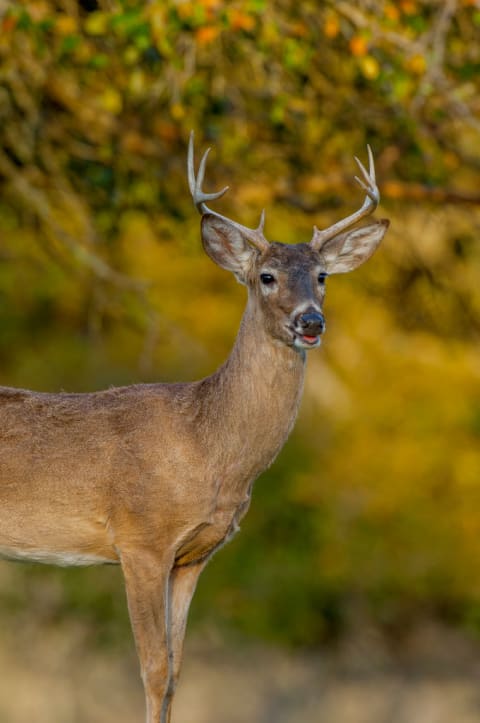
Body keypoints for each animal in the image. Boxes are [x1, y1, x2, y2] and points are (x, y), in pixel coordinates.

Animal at [0, 132, 390, 723]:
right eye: (265, 276)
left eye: (322, 276)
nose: (310, 321)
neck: (207, 445)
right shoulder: (139, 539)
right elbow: (153, 670)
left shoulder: (193, 556)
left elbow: (177, 673)